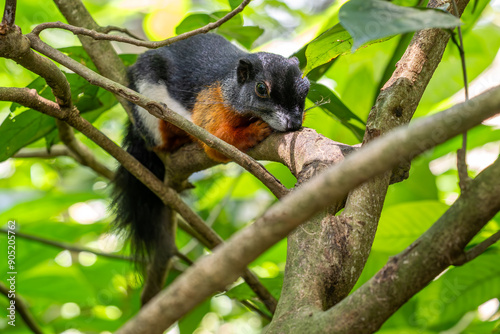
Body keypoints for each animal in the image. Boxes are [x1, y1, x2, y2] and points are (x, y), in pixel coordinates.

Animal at [112, 34, 310, 306]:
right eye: (261, 89)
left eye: (306, 88)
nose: (294, 123)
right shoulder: (209, 105)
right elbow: (218, 140)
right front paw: (256, 131)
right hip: (148, 106)